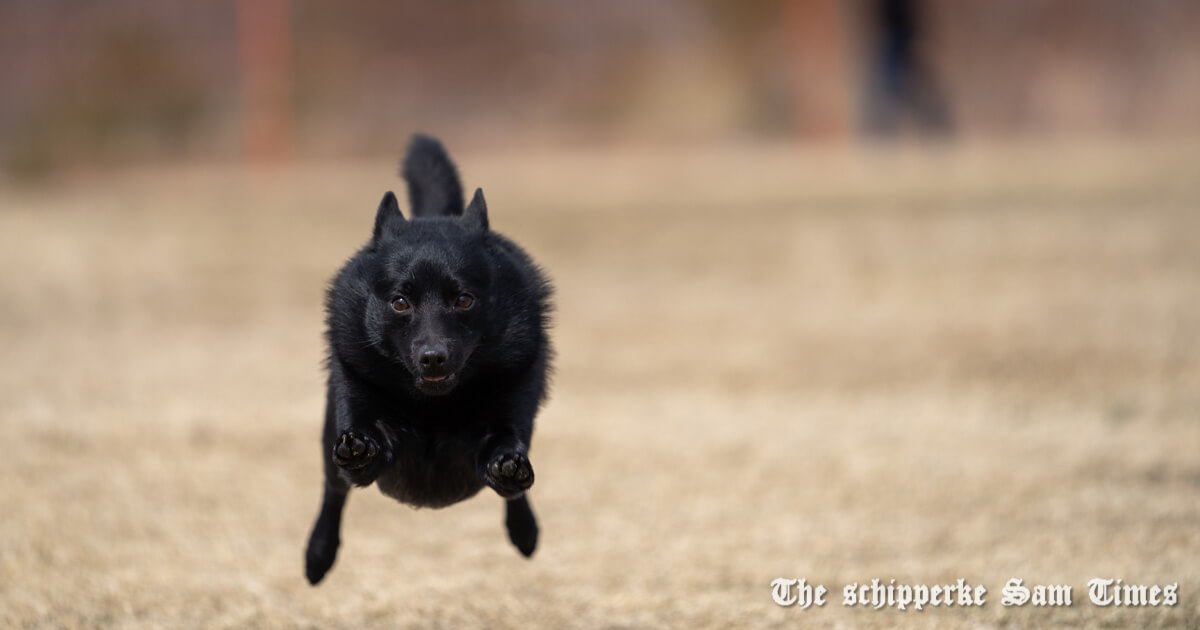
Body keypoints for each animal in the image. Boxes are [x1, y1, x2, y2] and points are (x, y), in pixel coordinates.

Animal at [307, 133, 554, 585]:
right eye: (400, 302)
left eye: (464, 299)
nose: (433, 358)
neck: (433, 408)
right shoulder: (359, 418)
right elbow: (359, 456)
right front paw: (361, 447)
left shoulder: (508, 414)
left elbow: (507, 459)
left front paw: (508, 467)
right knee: (333, 495)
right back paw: (317, 557)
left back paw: (525, 533)